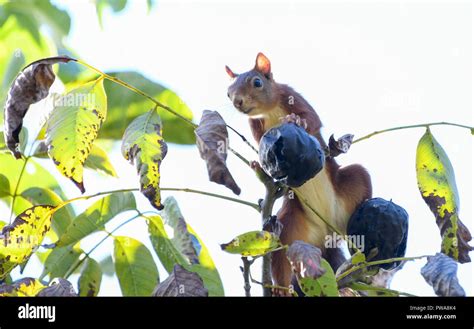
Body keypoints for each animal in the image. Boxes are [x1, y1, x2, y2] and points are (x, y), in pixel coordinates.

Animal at [227, 52, 374, 288]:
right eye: (228, 92)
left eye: (257, 82)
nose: (238, 102)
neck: (270, 110)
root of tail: (328, 231)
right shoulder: (256, 126)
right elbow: (260, 143)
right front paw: (259, 165)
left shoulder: (293, 97)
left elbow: (312, 119)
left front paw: (296, 120)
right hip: (288, 228)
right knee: (281, 258)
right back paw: (282, 289)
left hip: (354, 182)